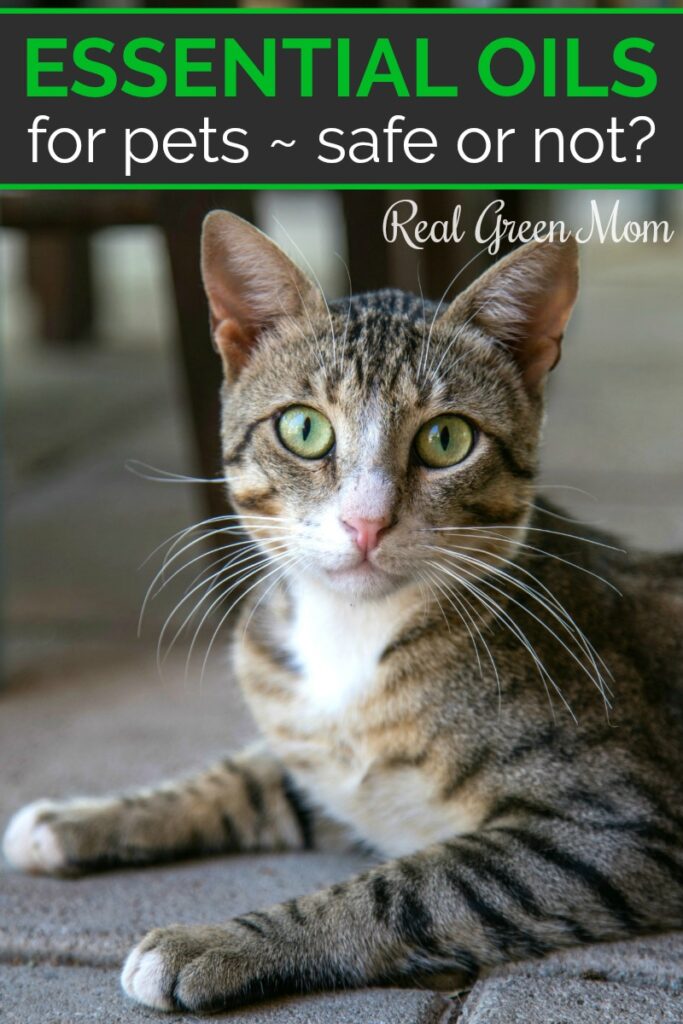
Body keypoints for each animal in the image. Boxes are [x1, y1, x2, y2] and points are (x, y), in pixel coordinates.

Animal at [2, 211, 679, 1011]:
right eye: (303, 429)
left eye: (447, 438)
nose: (366, 521)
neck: (356, 639)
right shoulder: (313, 760)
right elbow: (239, 781)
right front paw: (77, 819)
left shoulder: (615, 825)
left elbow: (404, 889)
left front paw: (214, 943)